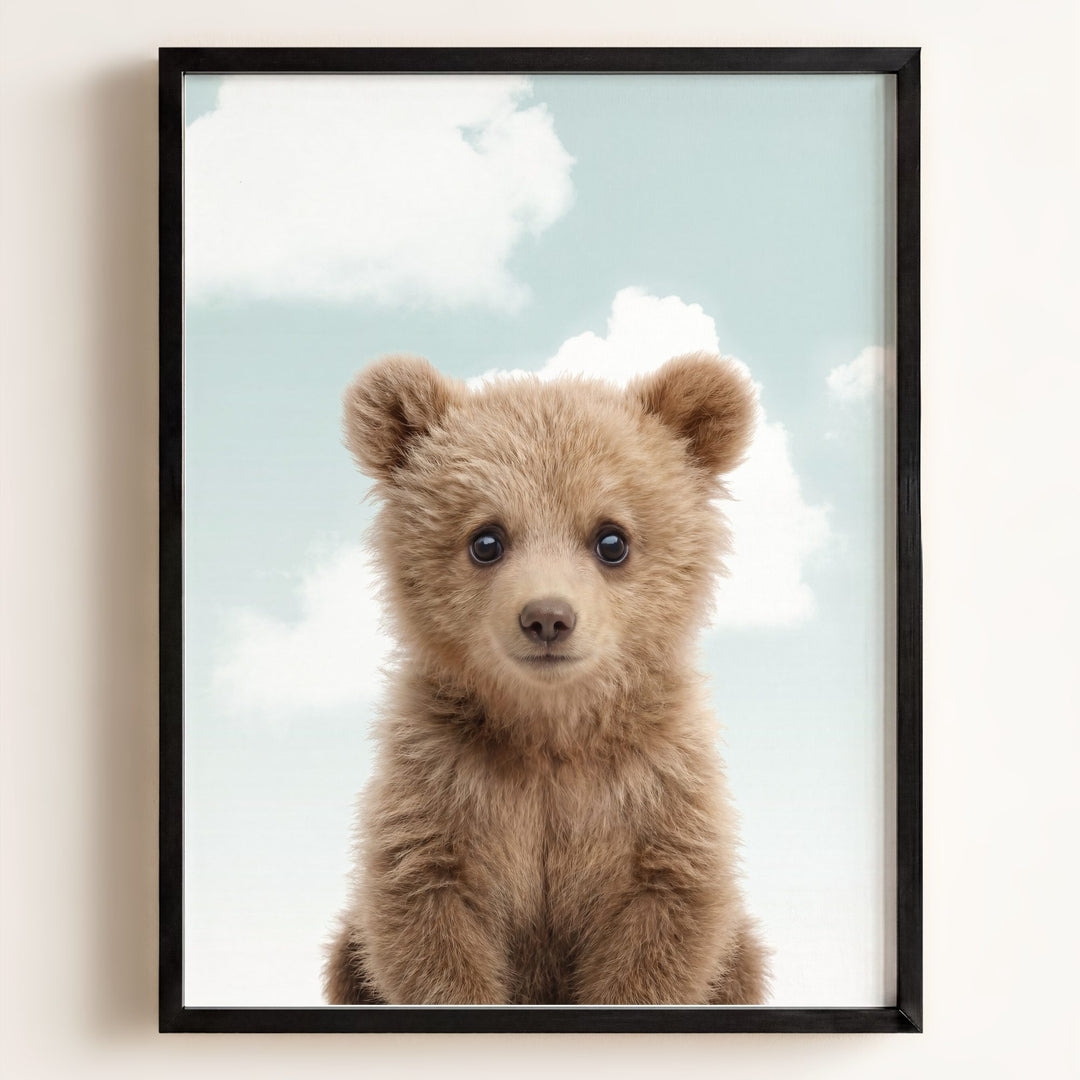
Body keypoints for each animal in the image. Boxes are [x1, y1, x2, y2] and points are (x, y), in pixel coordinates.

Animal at [324, 351, 770, 1006]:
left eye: (612, 539)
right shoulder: (441, 786)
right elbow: (427, 919)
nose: (547, 618)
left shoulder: (656, 792)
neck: (549, 730)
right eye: (486, 539)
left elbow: (663, 924)